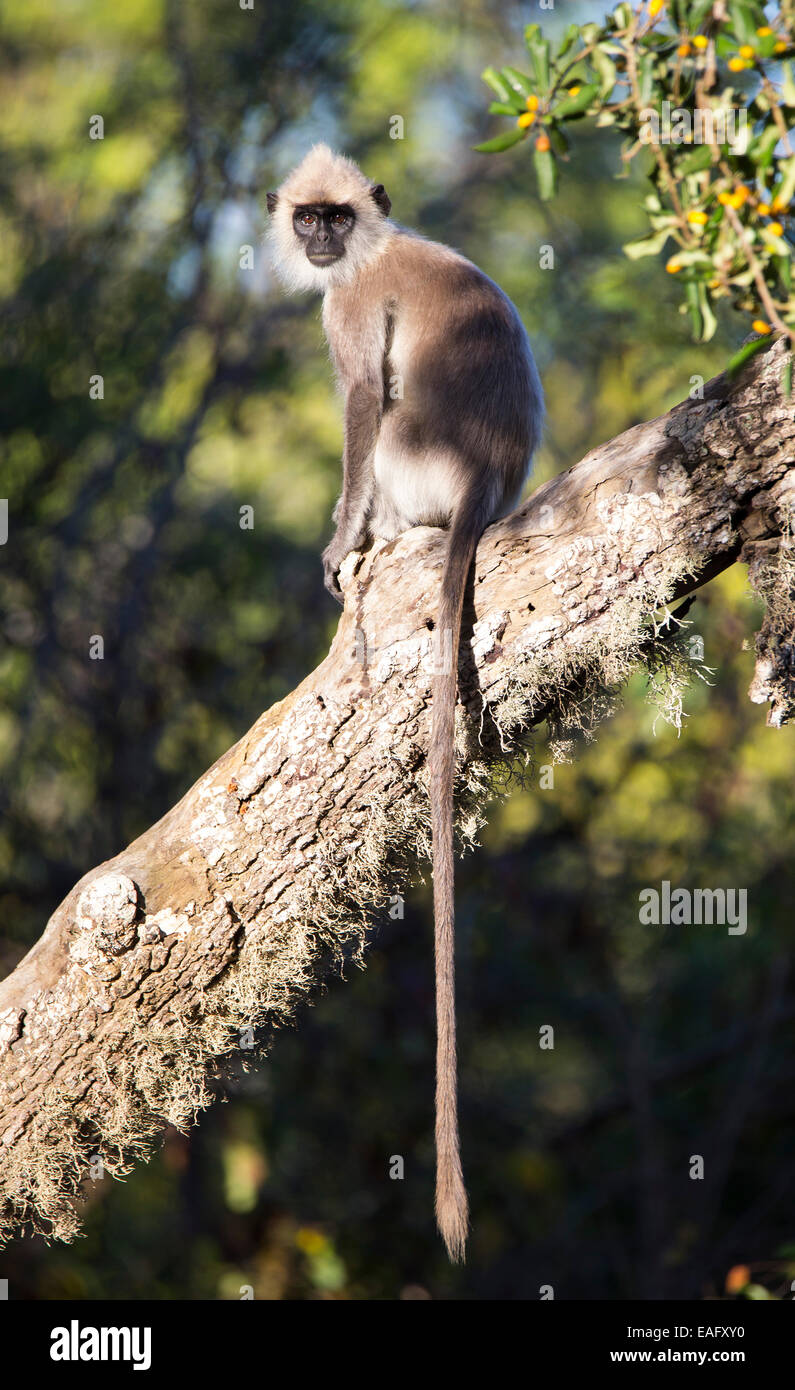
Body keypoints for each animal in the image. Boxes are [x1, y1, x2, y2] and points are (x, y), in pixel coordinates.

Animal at [266, 146, 547, 1267]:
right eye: (309, 217)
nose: (317, 242)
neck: (373, 248)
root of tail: (480, 484)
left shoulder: (347, 307)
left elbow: (354, 397)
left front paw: (339, 544)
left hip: (413, 458)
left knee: (382, 416)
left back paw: (376, 545)